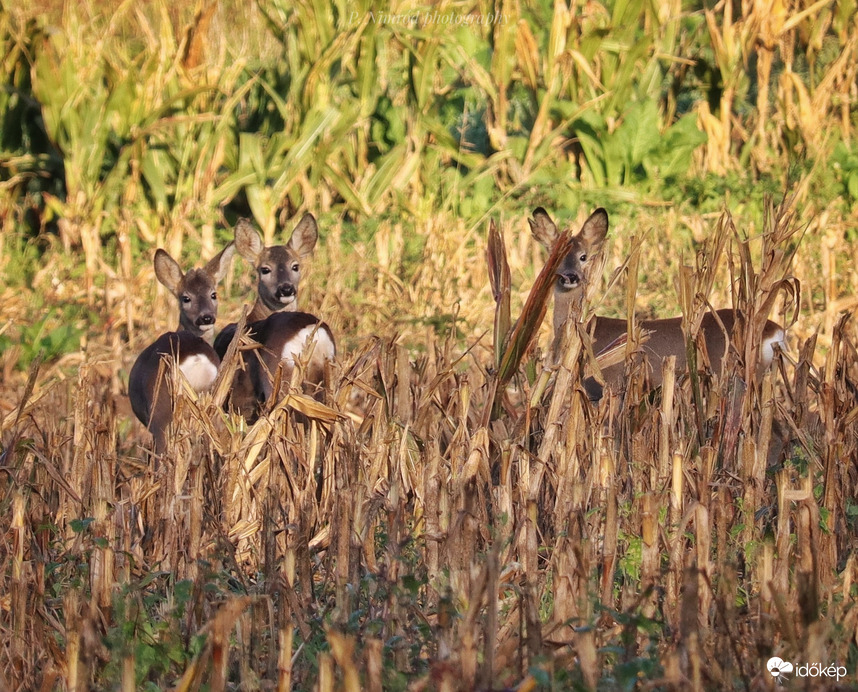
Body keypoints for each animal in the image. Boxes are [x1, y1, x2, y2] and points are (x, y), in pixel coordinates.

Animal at [127, 243, 234, 454]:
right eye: (186, 298)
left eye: (213, 294)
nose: (206, 317)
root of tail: (196, 357)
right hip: (214, 402)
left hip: (161, 410)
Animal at [212, 214, 332, 418]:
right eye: (265, 269)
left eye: (295, 266)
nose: (286, 289)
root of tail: (310, 334)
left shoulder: (241, 398)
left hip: (279, 378)